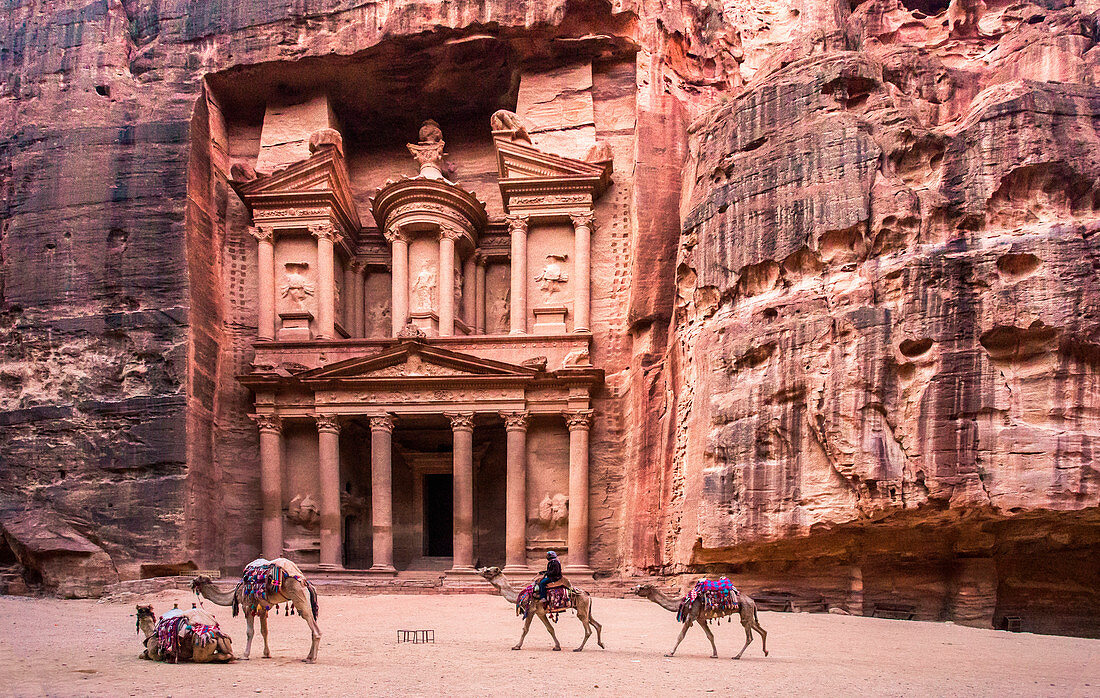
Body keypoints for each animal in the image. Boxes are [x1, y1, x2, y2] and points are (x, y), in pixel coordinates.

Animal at [191, 560, 321, 663]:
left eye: (199, 578)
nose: (191, 582)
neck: (237, 592)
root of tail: (305, 581)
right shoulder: (263, 608)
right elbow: (264, 631)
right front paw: (266, 654)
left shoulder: (247, 605)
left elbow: (250, 632)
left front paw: (245, 655)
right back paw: (308, 657)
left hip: (298, 593)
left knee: (313, 627)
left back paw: (312, 659)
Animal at [477, 567, 607, 650]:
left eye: (488, 570)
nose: (478, 570)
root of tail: (587, 594)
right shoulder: (540, 613)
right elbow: (550, 629)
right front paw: (557, 647)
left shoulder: (530, 610)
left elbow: (525, 629)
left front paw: (516, 646)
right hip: (586, 609)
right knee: (597, 624)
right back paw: (601, 644)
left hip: (582, 608)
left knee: (588, 629)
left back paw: (579, 648)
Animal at [633, 584, 770, 659]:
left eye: (643, 587)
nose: (633, 589)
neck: (683, 602)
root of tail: (753, 601)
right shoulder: (700, 619)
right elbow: (710, 636)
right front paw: (714, 654)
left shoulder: (691, 616)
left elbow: (681, 636)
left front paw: (670, 653)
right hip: (748, 614)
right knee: (762, 630)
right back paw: (765, 652)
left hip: (746, 612)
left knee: (749, 637)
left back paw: (737, 656)